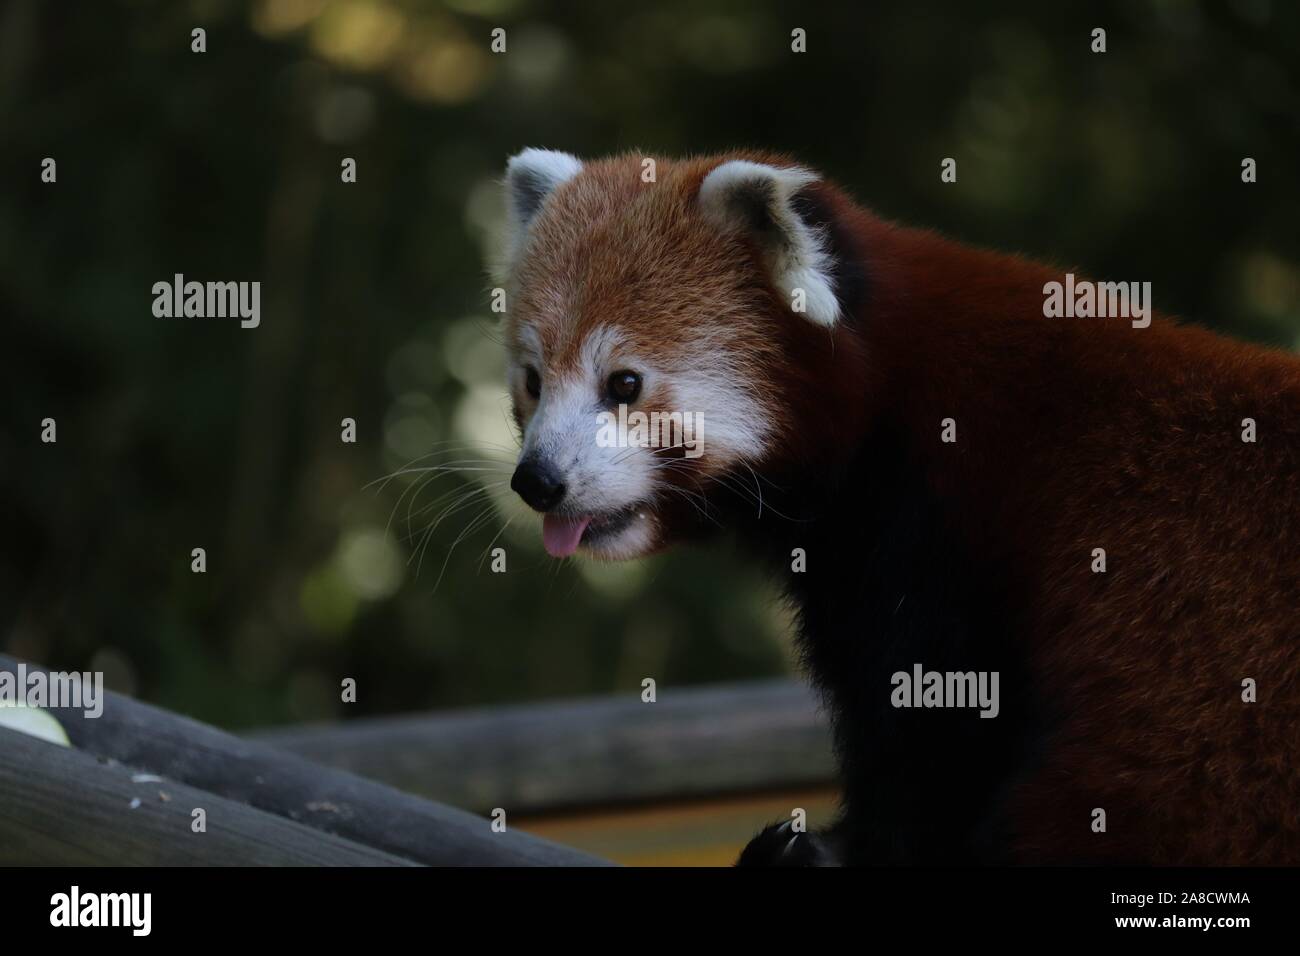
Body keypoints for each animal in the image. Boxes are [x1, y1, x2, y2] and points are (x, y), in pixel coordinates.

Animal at [491, 147, 1294, 868]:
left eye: (624, 384)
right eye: (533, 381)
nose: (539, 481)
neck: (883, 400)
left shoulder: (933, 534)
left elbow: (928, 733)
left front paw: (834, 851)